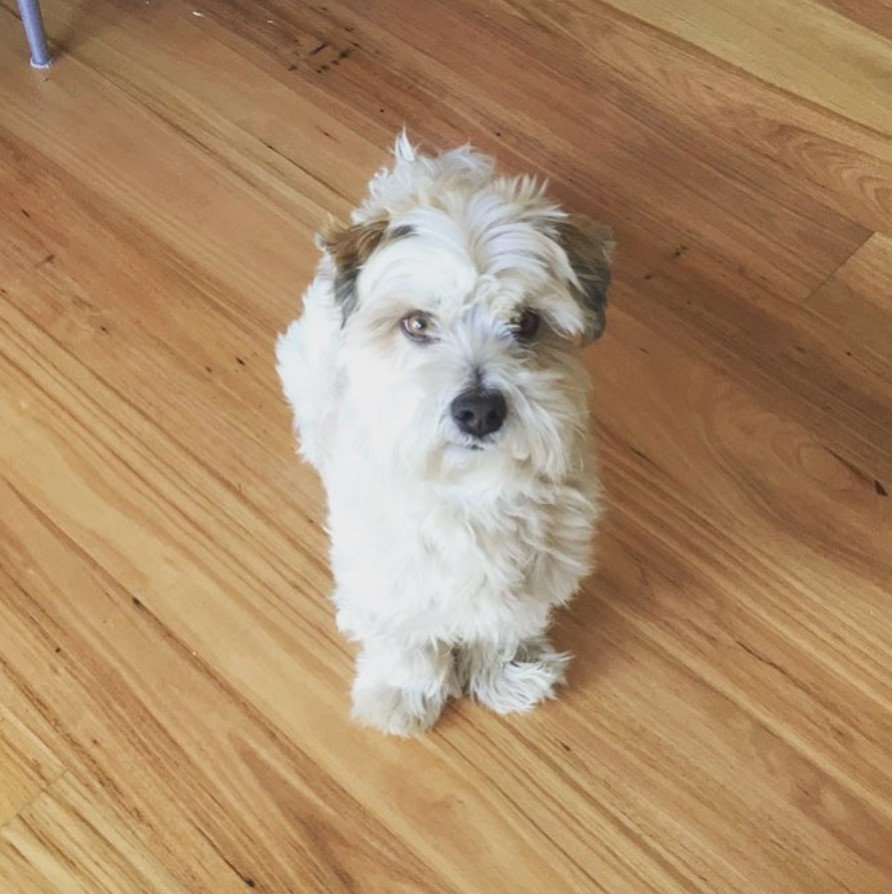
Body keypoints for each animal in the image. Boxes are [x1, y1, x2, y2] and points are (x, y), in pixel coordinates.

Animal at [278, 131, 612, 736]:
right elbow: (406, 640)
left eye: (526, 323)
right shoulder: (384, 573)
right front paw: (403, 692)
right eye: (417, 323)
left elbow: (504, 622)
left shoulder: (537, 569)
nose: (478, 410)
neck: (470, 489)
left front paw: (506, 674)